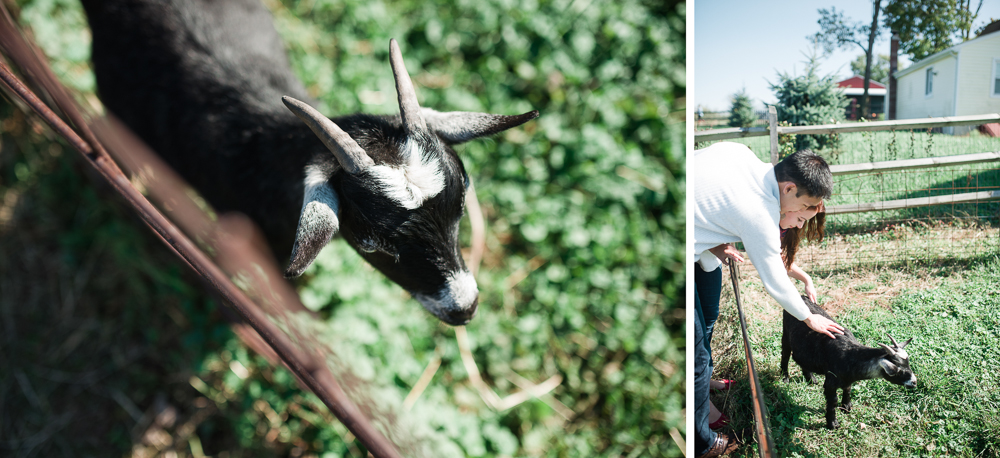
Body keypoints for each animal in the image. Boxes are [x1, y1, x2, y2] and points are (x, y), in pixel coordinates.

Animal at [780, 296, 916, 430]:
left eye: (908, 364)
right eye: (896, 370)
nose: (914, 382)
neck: (848, 355)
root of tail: (802, 296)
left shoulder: (847, 379)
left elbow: (848, 389)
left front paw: (846, 406)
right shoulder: (830, 382)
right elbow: (833, 401)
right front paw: (832, 423)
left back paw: (810, 378)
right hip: (785, 332)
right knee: (785, 355)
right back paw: (785, 378)